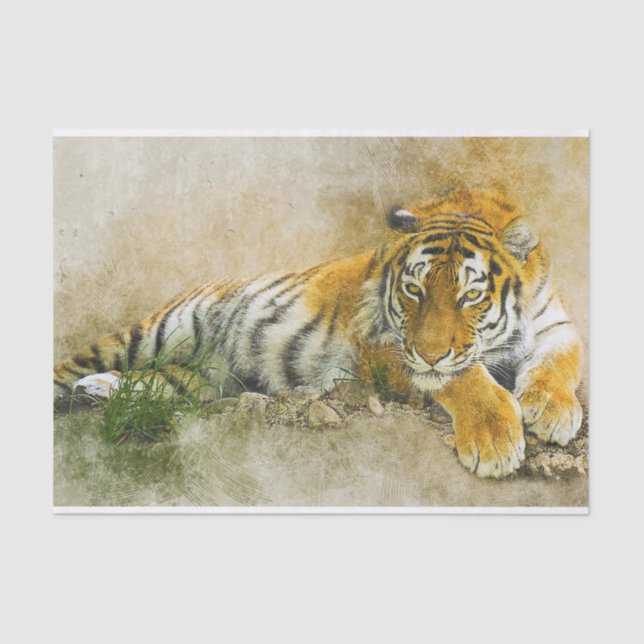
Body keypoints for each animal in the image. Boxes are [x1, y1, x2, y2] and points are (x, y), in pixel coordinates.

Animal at [54, 189, 584, 478]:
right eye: (413, 289)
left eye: (470, 296)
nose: (431, 352)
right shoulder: (386, 345)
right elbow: (464, 377)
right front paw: (495, 440)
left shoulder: (555, 323)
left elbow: (562, 361)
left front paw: (553, 410)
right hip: (154, 332)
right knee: (69, 366)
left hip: (210, 379)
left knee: (173, 385)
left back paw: (100, 390)